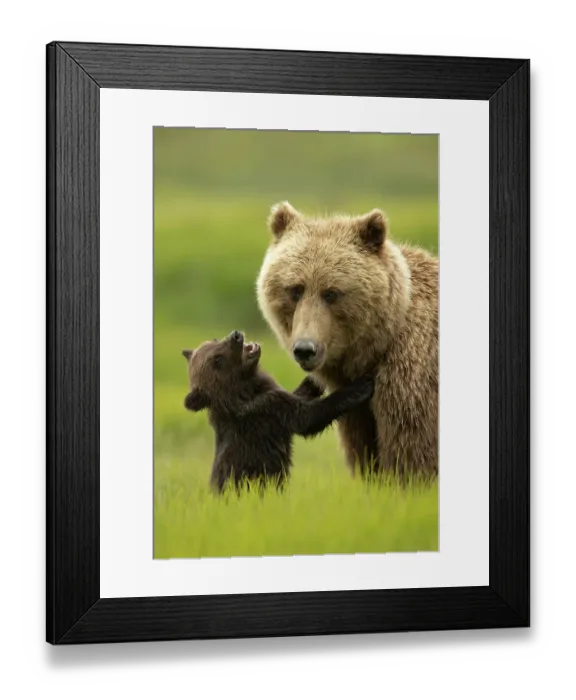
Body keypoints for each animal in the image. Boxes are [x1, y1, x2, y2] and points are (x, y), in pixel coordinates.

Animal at [181, 329, 375, 494]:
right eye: (217, 359)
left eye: (214, 340)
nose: (235, 335)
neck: (246, 391)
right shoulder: (269, 410)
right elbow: (308, 418)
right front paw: (361, 385)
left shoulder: (274, 397)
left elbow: (298, 394)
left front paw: (315, 379)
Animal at [256, 202, 438, 480]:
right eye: (295, 289)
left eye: (331, 293)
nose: (305, 349)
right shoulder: (358, 411)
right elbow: (364, 454)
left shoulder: (410, 380)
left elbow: (411, 456)